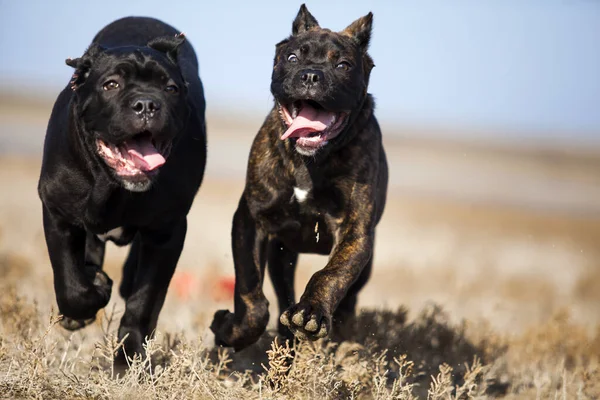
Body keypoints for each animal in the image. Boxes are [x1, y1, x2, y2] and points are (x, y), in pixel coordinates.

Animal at [38, 16, 206, 362]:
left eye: (170, 88)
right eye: (111, 84)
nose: (146, 104)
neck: (112, 189)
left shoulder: (167, 231)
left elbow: (144, 300)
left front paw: (129, 356)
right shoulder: (57, 212)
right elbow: (69, 281)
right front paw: (90, 294)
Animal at [211, 5, 390, 350]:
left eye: (343, 65)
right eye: (292, 58)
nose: (310, 75)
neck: (309, 162)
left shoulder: (355, 233)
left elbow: (331, 274)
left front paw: (310, 313)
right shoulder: (251, 219)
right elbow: (250, 290)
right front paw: (232, 330)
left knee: (346, 300)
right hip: (282, 254)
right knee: (282, 295)